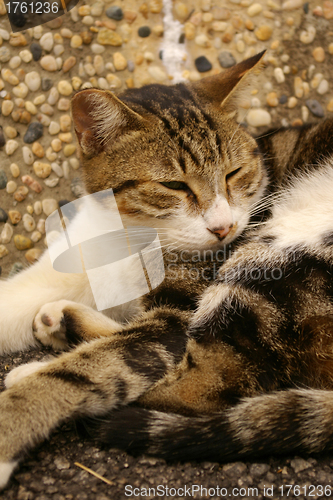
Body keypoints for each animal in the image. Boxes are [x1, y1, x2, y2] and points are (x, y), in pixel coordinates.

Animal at [0, 52, 332, 490]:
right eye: (174, 185)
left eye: (233, 173)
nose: (224, 227)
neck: (131, 237)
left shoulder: (179, 315)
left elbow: (99, 369)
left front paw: (12, 424)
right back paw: (62, 321)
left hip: (269, 260)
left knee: (207, 391)